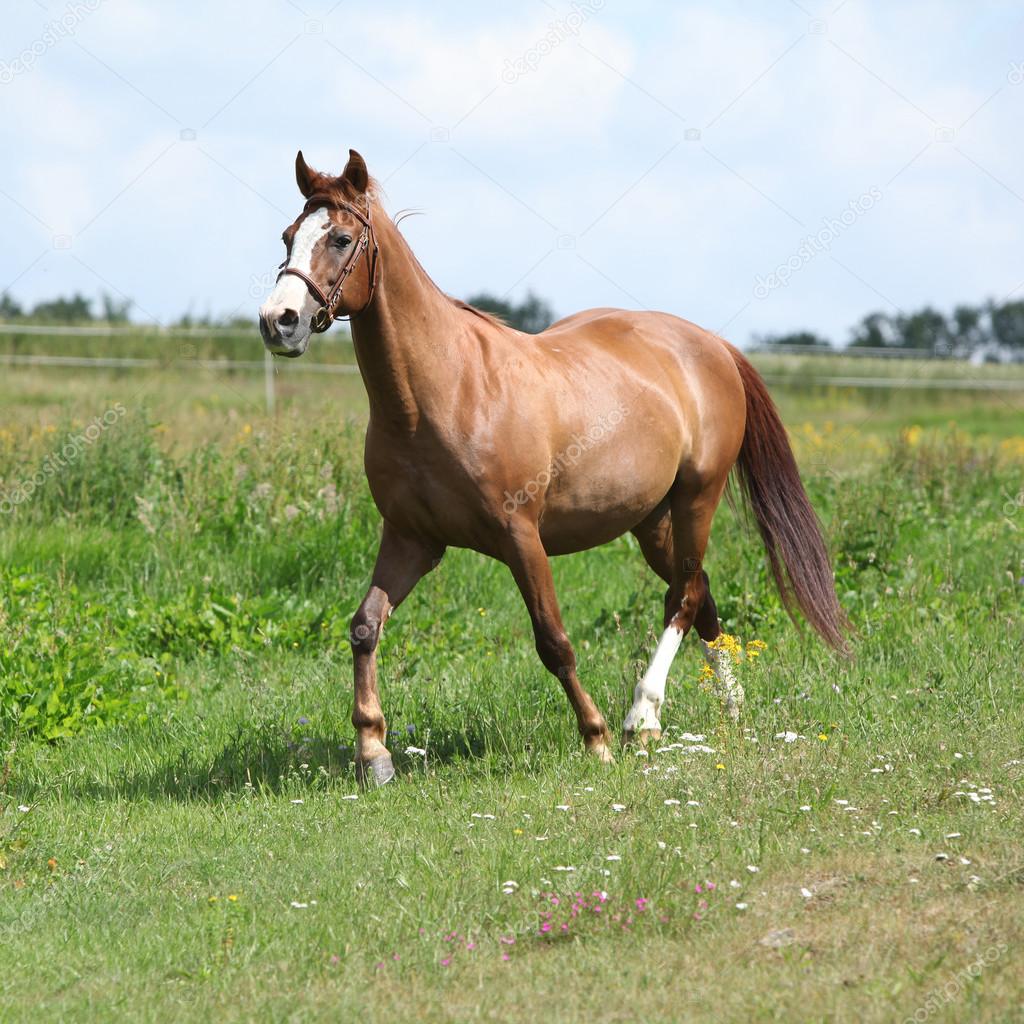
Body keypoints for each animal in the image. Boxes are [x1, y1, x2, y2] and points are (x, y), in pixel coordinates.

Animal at [258, 148, 847, 782]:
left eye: (341, 238)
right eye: (288, 236)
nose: (278, 321)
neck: (442, 392)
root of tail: (712, 346)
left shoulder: (520, 537)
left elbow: (553, 641)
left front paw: (597, 739)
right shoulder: (412, 538)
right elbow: (365, 626)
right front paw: (374, 752)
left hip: (697, 498)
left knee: (683, 597)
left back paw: (642, 717)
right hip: (651, 519)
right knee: (700, 591)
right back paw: (728, 709)